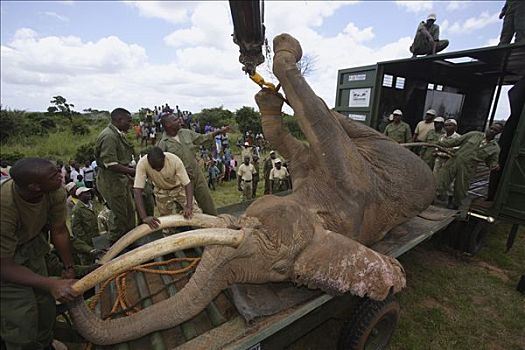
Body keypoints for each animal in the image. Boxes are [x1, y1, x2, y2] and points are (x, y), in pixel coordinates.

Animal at [66, 32, 434, 344]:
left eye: (280, 270)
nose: (69, 295)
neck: (317, 208)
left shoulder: (354, 187)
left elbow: (319, 128)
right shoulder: (311, 170)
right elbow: (286, 134)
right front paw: (268, 90)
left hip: (389, 154)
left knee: (335, 123)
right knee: (332, 122)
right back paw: (272, 93)